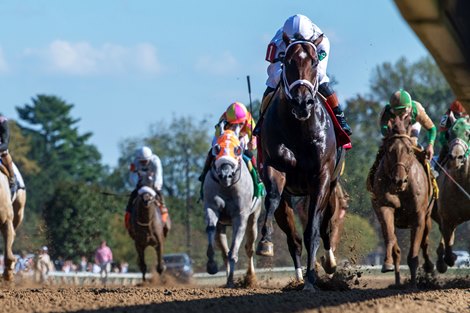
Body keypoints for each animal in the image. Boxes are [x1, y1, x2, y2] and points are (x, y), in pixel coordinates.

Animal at [204, 129, 262, 288]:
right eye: (217, 148)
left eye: (237, 150)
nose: (225, 175)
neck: (227, 187)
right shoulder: (212, 207)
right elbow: (210, 229)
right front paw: (212, 265)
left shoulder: (241, 216)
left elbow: (235, 248)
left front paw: (232, 280)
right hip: (222, 225)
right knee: (224, 251)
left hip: (254, 217)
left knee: (249, 248)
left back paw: (250, 278)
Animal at [255, 36, 346, 290]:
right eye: (287, 60)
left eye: (315, 61)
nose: (302, 102)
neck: (299, 129)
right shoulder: (275, 168)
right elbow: (273, 199)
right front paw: (265, 242)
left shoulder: (322, 178)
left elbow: (313, 230)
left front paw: (312, 279)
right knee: (292, 238)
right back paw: (297, 276)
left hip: (331, 190)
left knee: (326, 227)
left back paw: (329, 263)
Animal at [372, 114, 436, 286]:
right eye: (389, 151)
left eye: (409, 150)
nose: (399, 180)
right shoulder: (384, 207)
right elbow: (390, 237)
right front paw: (387, 263)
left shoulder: (418, 215)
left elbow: (415, 251)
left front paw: (413, 283)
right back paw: (397, 281)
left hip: (428, 216)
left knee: (425, 242)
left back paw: (429, 266)